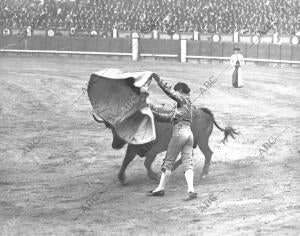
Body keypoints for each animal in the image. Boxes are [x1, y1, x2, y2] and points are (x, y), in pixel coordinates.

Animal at [92, 106, 238, 185]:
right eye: (111, 128)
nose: (115, 145)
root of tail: (203, 111)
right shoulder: (133, 148)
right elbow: (126, 161)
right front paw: (122, 179)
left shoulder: (155, 148)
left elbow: (146, 162)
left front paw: (155, 176)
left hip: (202, 141)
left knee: (208, 153)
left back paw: (203, 174)